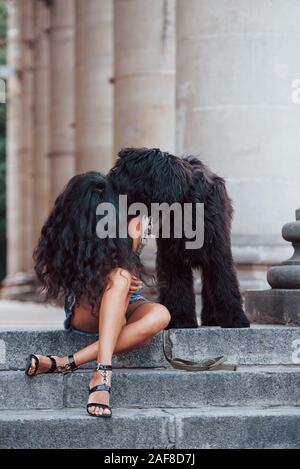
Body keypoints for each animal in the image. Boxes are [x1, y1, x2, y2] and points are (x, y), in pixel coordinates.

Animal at [106, 148, 250, 328]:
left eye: (125, 170)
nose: (107, 179)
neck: (183, 205)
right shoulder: (172, 257)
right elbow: (177, 288)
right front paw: (181, 319)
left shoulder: (217, 252)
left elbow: (225, 283)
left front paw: (235, 317)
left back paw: (211, 318)